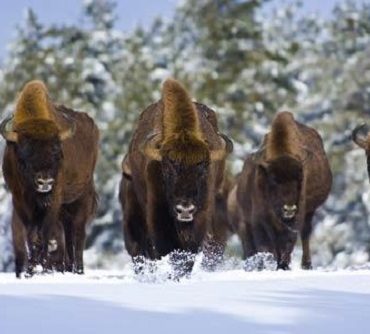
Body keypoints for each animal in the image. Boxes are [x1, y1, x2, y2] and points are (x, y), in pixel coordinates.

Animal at [0, 80, 99, 276]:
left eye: (57, 153)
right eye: (24, 156)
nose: (45, 182)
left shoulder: (54, 200)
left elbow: (45, 232)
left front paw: (42, 266)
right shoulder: (20, 201)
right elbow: (31, 234)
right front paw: (31, 269)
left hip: (81, 198)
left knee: (78, 234)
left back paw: (78, 270)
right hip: (65, 208)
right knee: (68, 234)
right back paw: (68, 268)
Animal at [231, 111, 332, 268]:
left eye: (299, 179)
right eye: (274, 180)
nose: (289, 209)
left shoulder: (298, 214)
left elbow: (290, 239)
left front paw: (283, 265)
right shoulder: (262, 217)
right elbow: (273, 241)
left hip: (309, 211)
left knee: (305, 233)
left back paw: (306, 264)